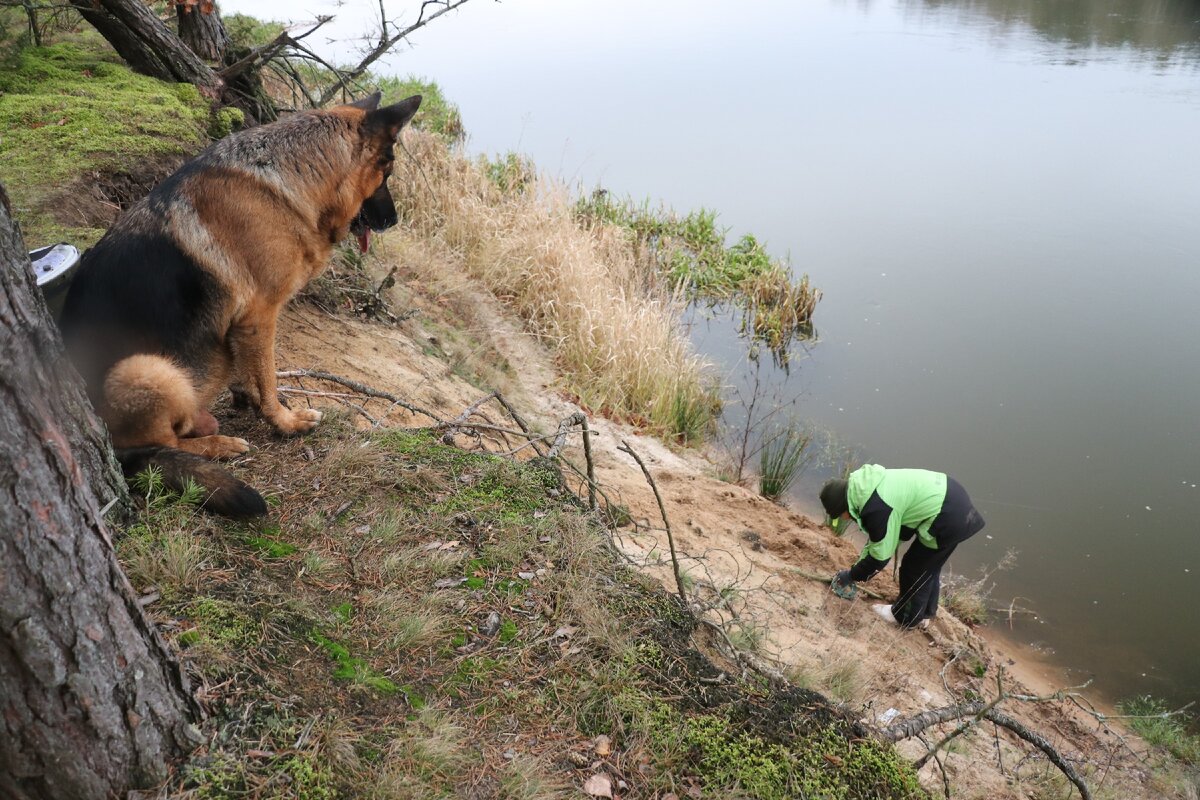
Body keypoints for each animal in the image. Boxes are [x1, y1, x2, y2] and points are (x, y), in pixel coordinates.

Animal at [58, 90, 422, 515]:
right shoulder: (260, 316)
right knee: (161, 446)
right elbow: (267, 375)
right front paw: (284, 422)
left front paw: (253, 399)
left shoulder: (246, 327)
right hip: (149, 370)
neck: (291, 179)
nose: (393, 221)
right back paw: (218, 446)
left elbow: (253, 374)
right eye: (388, 174)